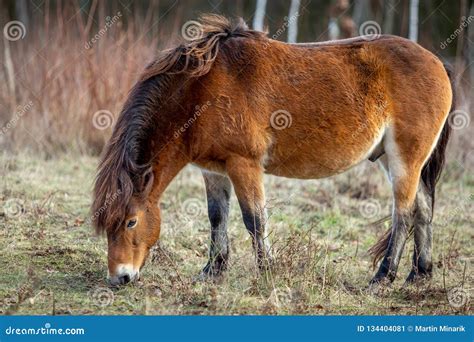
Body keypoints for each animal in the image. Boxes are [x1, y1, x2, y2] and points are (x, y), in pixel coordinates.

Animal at [90, 14, 456, 286]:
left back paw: (383, 276)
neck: (202, 90)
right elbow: (216, 216)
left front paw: (267, 270)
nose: (120, 278)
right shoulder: (212, 169)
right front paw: (212, 270)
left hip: (404, 159)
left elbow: (254, 219)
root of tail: (437, 62)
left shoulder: (244, 164)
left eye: (131, 222)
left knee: (404, 213)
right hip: (401, 161)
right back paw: (419, 274)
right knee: (423, 208)